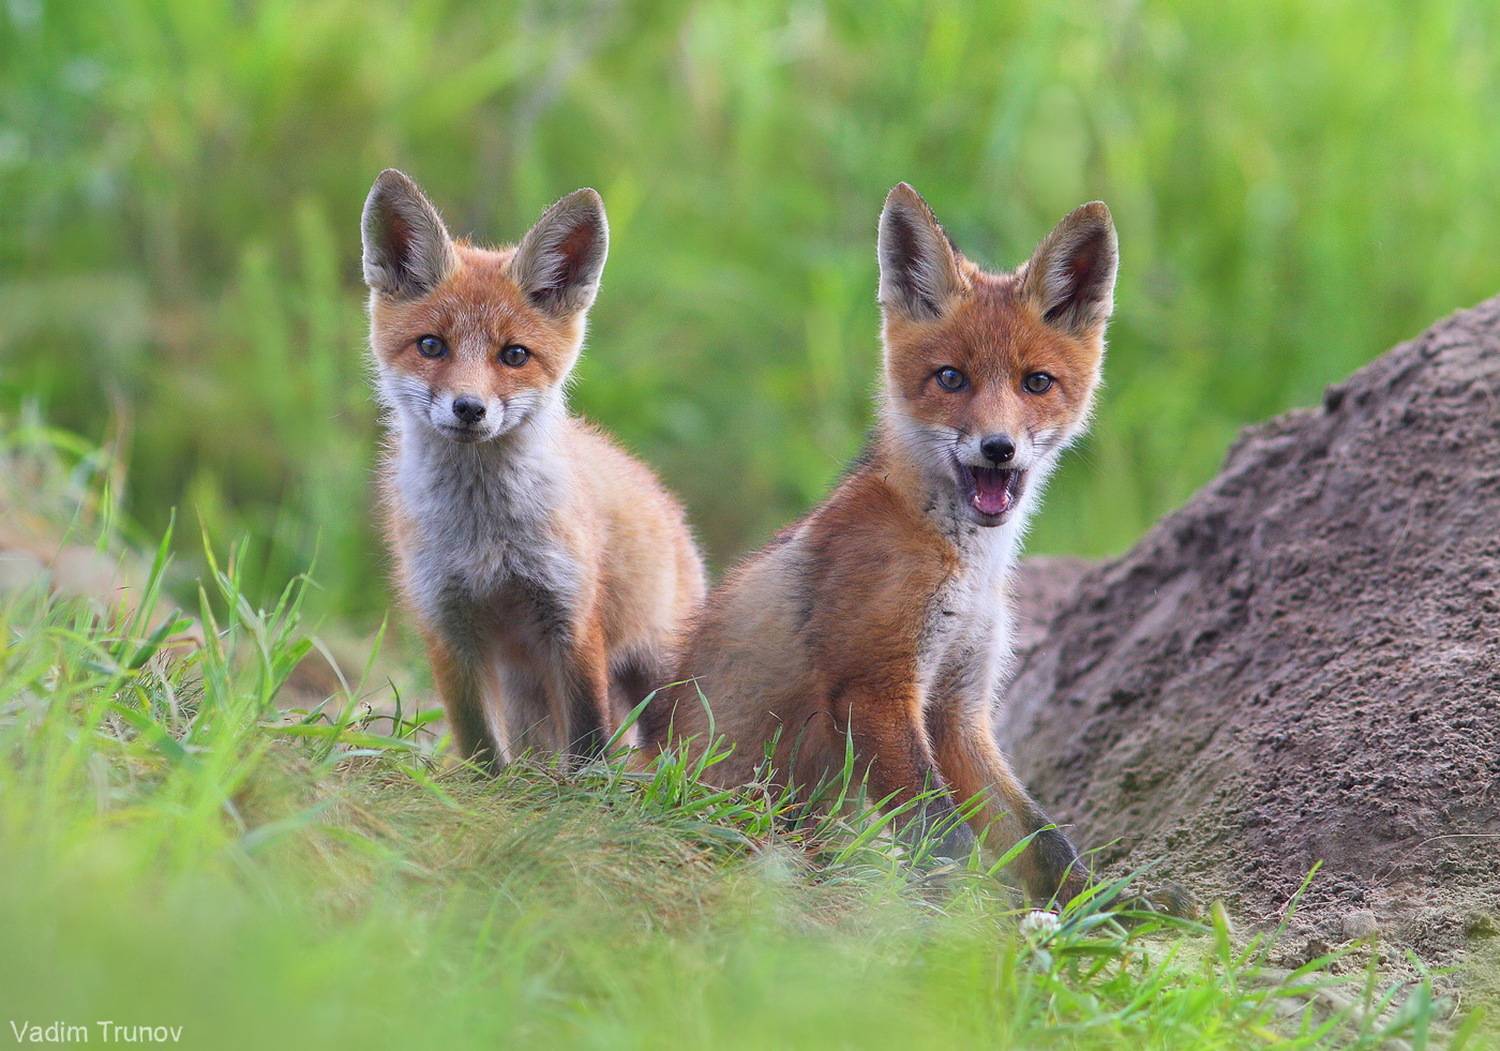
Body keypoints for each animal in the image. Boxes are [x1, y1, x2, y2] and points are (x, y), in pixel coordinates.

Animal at [361, 169, 706, 770]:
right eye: (431, 346)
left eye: (515, 355)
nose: (469, 408)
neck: (484, 533)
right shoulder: (447, 622)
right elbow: (478, 742)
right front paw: (488, 787)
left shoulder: (570, 617)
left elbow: (590, 738)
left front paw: (586, 790)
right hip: (525, 686)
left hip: (658, 668)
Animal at [645, 184, 1117, 902]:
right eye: (951, 378)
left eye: (1036, 382)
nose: (998, 448)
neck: (964, 563)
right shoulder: (876, 689)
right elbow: (944, 838)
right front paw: (964, 921)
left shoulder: (958, 707)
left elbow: (1041, 840)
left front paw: (1103, 915)